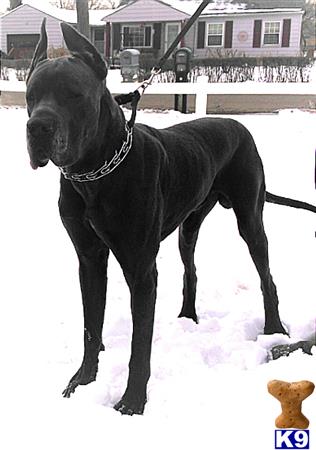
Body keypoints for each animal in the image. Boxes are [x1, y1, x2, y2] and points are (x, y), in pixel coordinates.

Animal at [26, 21, 316, 414]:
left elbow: (140, 346)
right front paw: (82, 381)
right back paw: (187, 317)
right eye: (31, 95)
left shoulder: (140, 269)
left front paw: (132, 402)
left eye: (74, 94)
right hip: (188, 226)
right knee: (190, 269)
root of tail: (238, 125)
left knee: (266, 276)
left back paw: (275, 330)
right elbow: (90, 327)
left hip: (250, 219)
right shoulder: (89, 258)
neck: (95, 174)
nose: (37, 126)